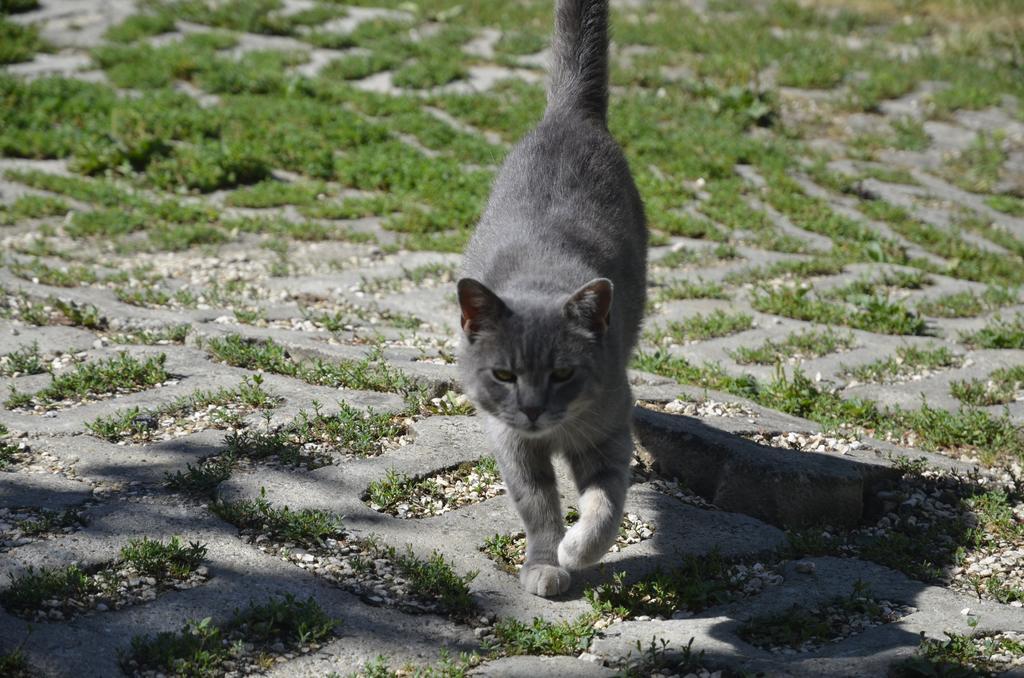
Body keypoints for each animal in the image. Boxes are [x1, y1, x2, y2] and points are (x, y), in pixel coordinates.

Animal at [458, 0, 643, 598]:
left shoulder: (610, 433)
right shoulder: (511, 443)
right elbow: (538, 505)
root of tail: (570, 115)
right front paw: (544, 562)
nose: (534, 408)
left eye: (563, 373)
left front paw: (575, 550)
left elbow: (605, 506)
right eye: (504, 374)